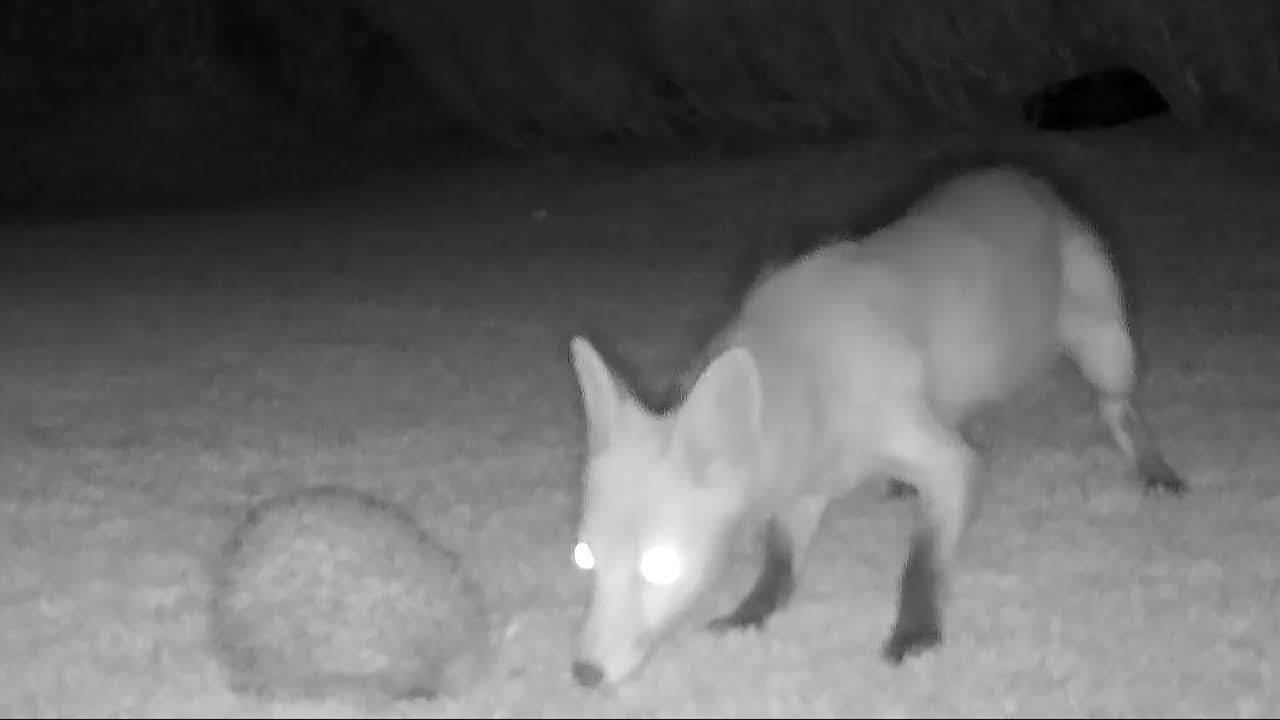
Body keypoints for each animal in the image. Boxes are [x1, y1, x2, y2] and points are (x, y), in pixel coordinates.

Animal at [566, 163, 1188, 688]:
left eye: (660, 567)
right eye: (584, 558)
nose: (584, 674)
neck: (813, 370)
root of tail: (1023, 176)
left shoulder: (948, 466)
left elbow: (921, 562)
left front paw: (915, 632)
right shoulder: (805, 488)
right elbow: (779, 566)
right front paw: (750, 614)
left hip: (1108, 350)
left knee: (1117, 409)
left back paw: (1153, 468)